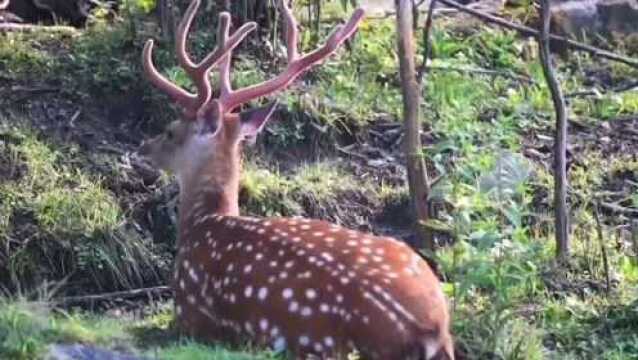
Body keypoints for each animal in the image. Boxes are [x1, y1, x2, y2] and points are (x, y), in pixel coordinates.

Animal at [139, 0, 456, 358]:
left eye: (170, 131)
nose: (143, 147)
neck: (203, 221)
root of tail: (429, 328)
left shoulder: (186, 312)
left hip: (318, 343)